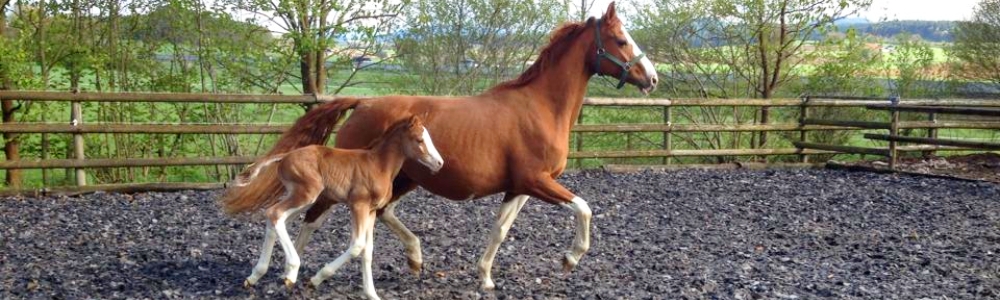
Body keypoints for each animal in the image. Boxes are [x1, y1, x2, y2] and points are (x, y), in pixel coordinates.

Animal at [233, 116, 442, 298]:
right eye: (419, 139)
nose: (439, 163)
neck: (378, 165)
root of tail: (286, 155)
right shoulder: (358, 205)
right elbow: (357, 246)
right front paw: (316, 279)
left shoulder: (371, 211)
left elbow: (368, 251)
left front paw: (372, 294)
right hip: (306, 194)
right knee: (275, 213)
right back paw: (291, 272)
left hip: (303, 197)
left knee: (274, 219)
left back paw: (255, 276)